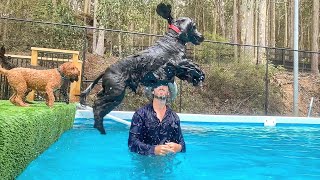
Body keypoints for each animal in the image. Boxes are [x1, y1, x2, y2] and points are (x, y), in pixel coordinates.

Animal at [79, 2, 205, 134]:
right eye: (194, 26)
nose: (202, 37)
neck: (174, 39)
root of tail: (105, 71)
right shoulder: (176, 63)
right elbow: (193, 66)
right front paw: (199, 76)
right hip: (115, 92)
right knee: (97, 105)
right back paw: (100, 128)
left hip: (111, 93)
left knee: (100, 103)